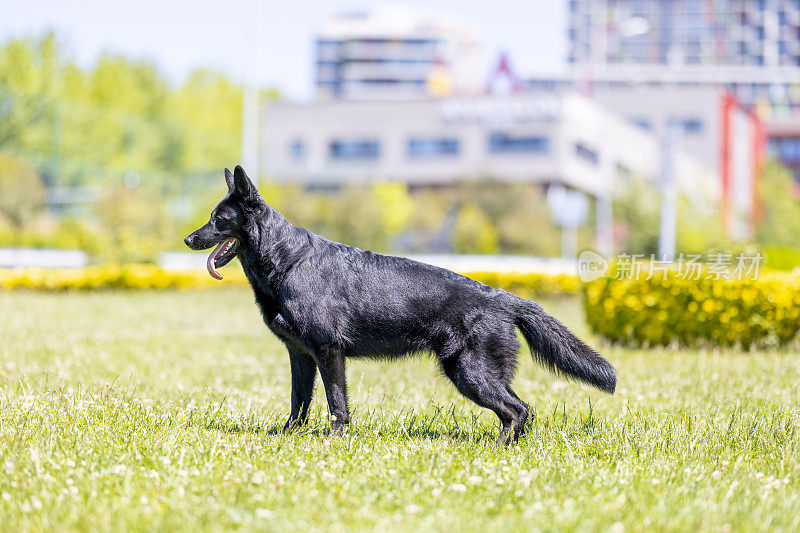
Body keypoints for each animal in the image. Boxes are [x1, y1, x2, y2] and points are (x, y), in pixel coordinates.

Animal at [184, 166, 616, 440]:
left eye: (219, 219)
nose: (188, 240)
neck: (288, 262)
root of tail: (505, 298)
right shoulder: (301, 356)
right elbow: (299, 402)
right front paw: (289, 436)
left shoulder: (328, 352)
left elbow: (336, 401)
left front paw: (336, 438)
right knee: (518, 411)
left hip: (470, 374)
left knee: (518, 410)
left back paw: (495, 450)